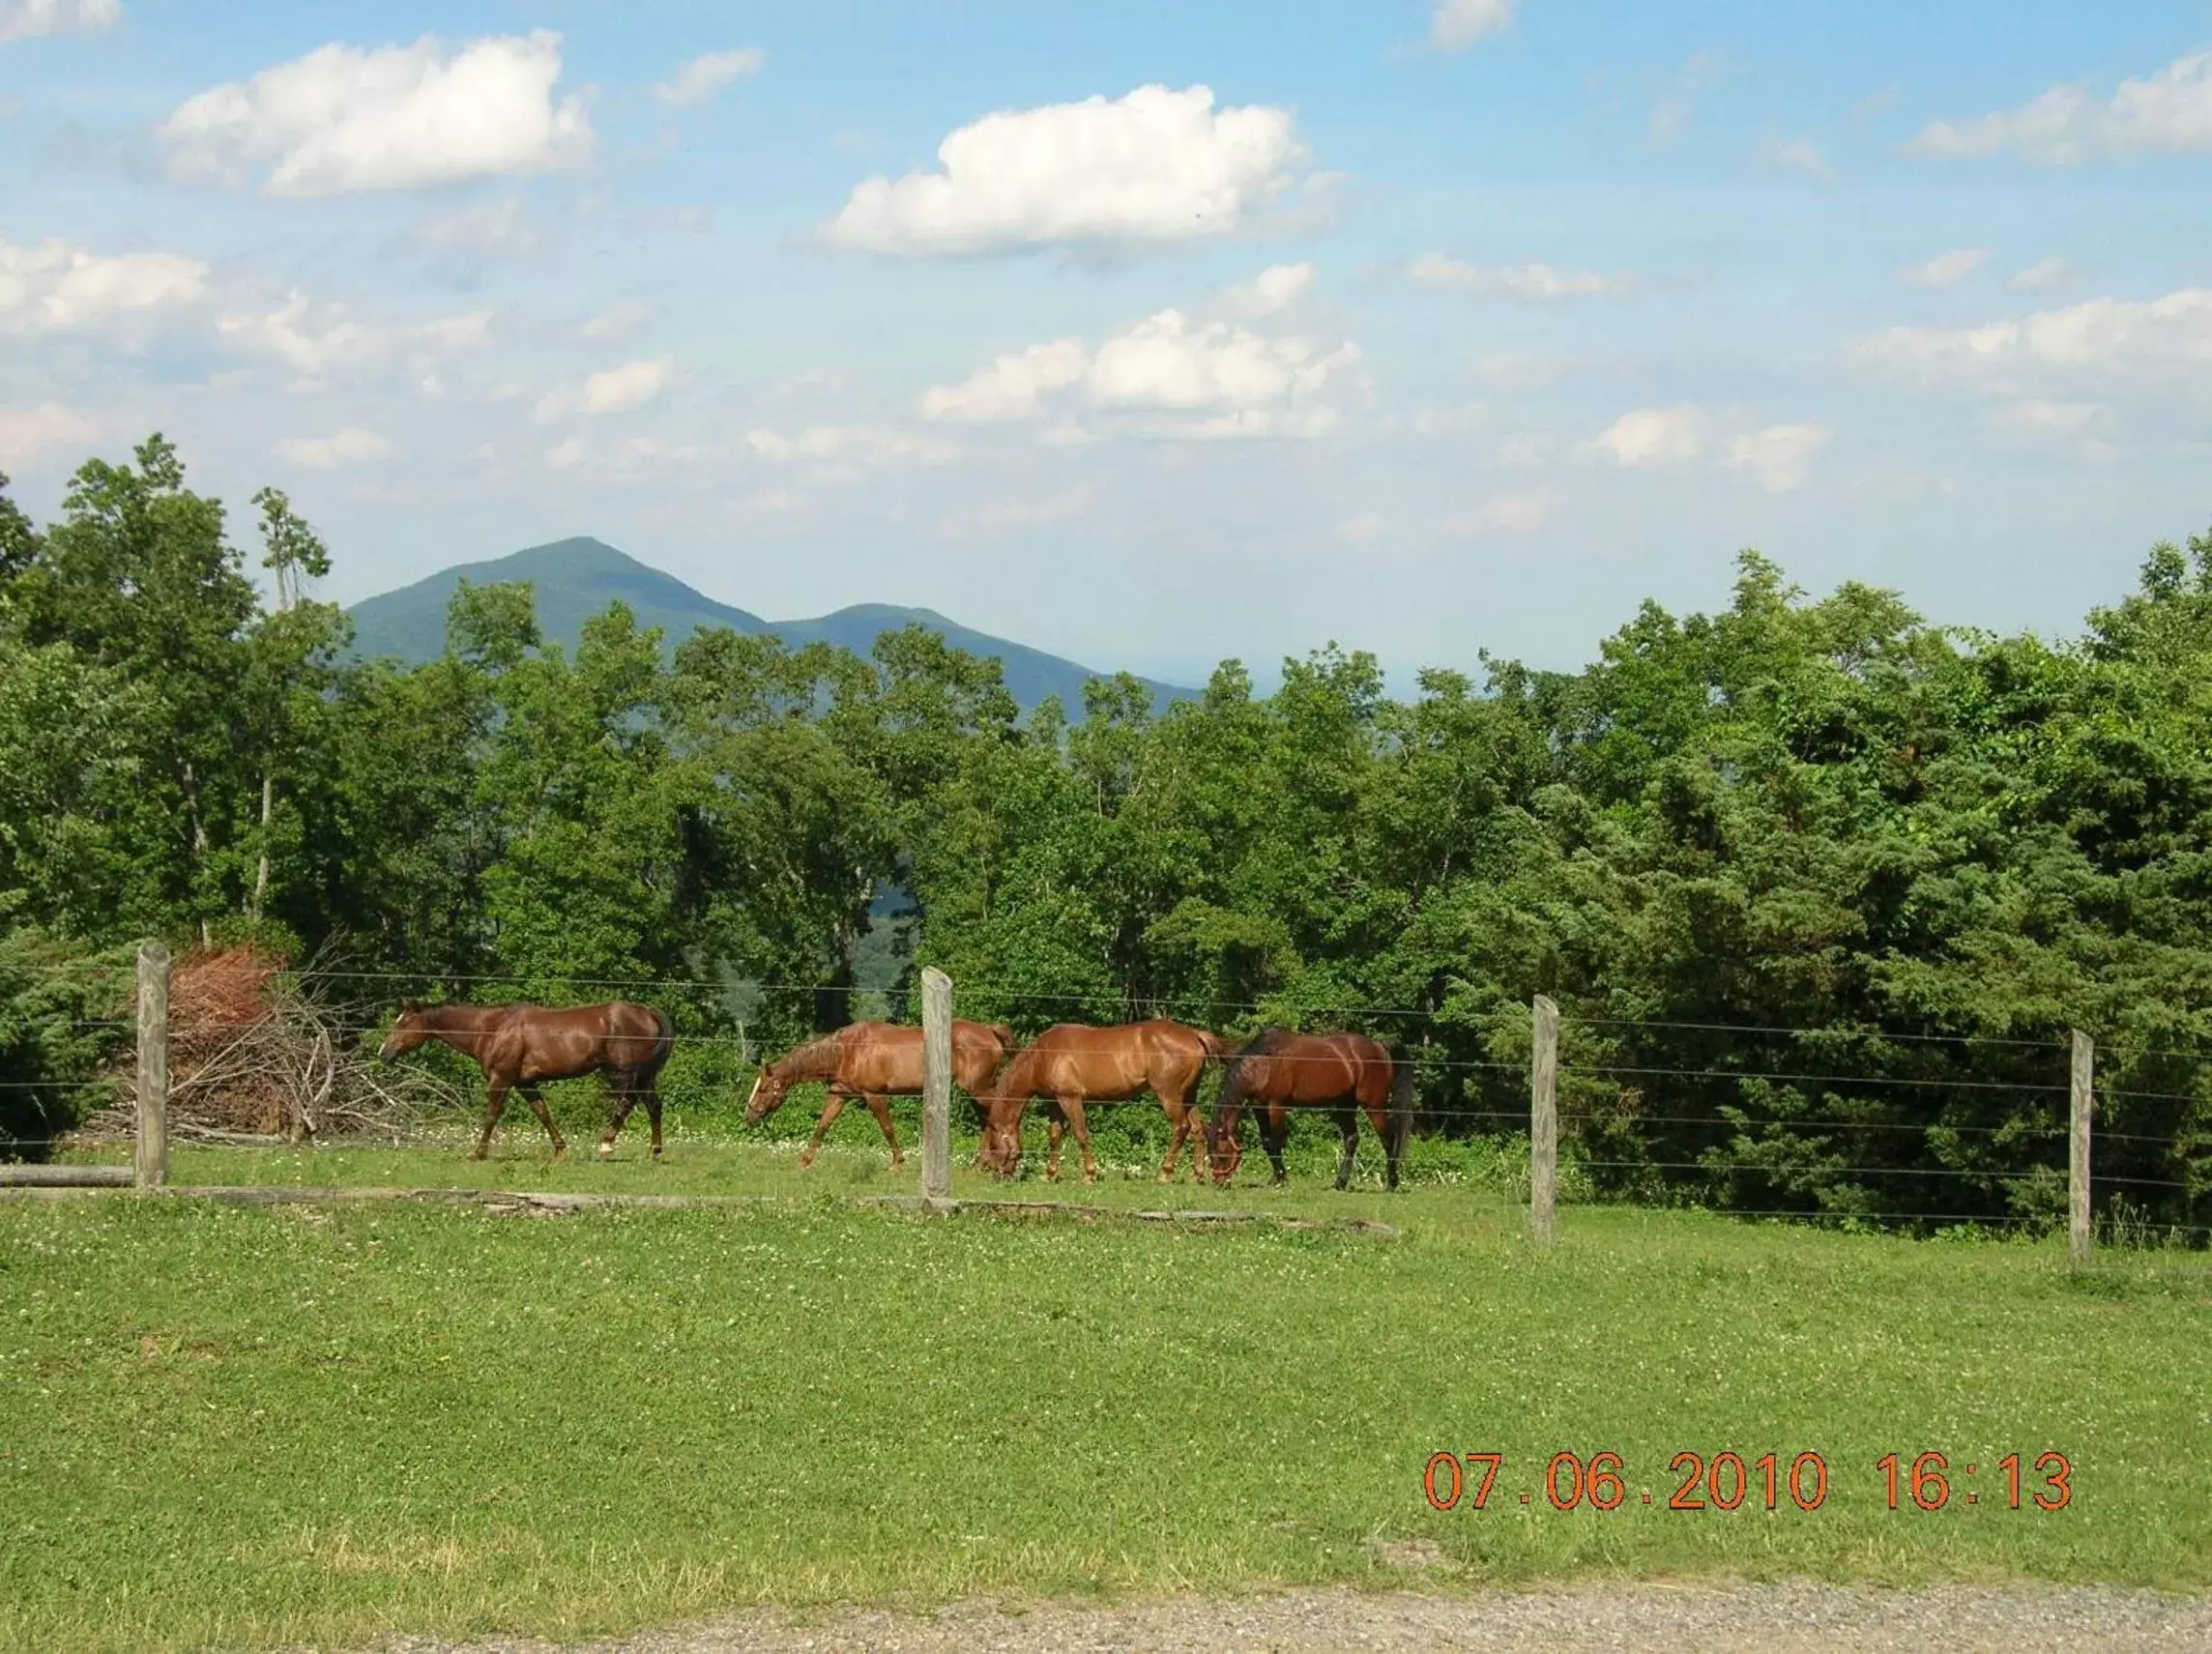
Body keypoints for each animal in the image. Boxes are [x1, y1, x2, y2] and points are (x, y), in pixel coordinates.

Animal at [380, 999, 672, 1158]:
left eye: (403, 1024)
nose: (384, 1053)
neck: (493, 1029)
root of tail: (647, 1012)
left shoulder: (500, 1079)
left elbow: (491, 1116)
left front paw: (478, 1152)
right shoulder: (524, 1084)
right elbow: (543, 1113)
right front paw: (560, 1149)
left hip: (625, 1072)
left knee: (628, 1103)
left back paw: (606, 1144)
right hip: (644, 1076)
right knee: (653, 1106)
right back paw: (654, 1151)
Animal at [742, 1012, 1017, 1167]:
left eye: (763, 1088)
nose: (749, 1115)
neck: (847, 1050)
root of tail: (991, 1031)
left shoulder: (874, 1095)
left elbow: (887, 1128)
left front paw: (897, 1162)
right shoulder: (839, 1095)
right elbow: (822, 1126)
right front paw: (804, 1161)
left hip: (980, 1090)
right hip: (975, 1093)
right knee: (987, 1121)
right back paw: (980, 1163)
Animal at [981, 1021, 1230, 1185]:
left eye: (993, 1146)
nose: (997, 1176)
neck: (1042, 1056)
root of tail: (1194, 1035)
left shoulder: (1070, 1099)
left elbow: (1081, 1134)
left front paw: (1089, 1174)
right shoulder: (1055, 1103)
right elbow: (1054, 1137)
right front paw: (1050, 1173)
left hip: (1169, 1096)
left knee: (1181, 1128)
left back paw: (1164, 1173)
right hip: (1188, 1097)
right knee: (1197, 1129)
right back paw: (1197, 1174)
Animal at [1203, 1021, 1407, 1185]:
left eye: (1222, 1154)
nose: (1219, 1183)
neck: (1264, 1063)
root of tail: (1379, 1045)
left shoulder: (1276, 1106)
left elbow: (1276, 1142)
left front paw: (1282, 1179)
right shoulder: (1259, 1108)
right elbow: (1267, 1142)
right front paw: (1276, 1177)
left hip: (1374, 1106)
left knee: (1388, 1139)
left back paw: (1392, 1183)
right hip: (1344, 1105)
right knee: (1352, 1139)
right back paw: (1340, 1183)